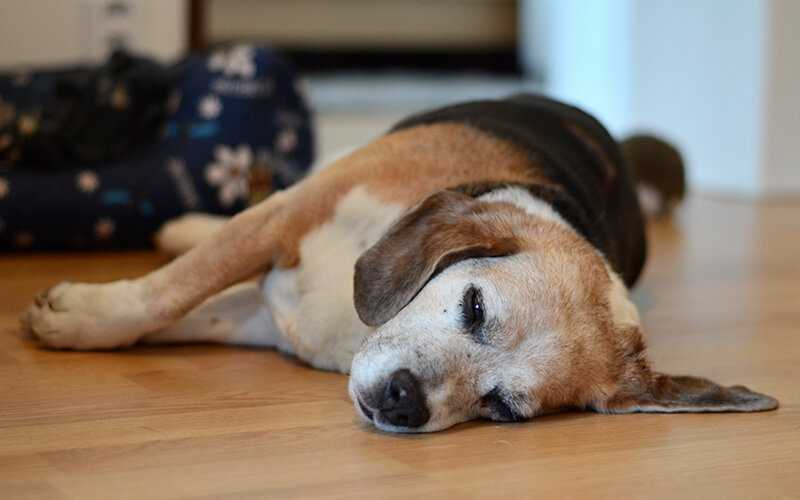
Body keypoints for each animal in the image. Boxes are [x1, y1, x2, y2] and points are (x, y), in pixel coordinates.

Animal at [21, 94, 780, 434]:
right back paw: (182, 224)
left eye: (502, 408)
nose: (403, 401)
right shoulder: (285, 218)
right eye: (474, 305)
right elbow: (168, 293)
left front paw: (80, 318)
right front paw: (86, 318)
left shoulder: (263, 316)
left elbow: (183, 310)